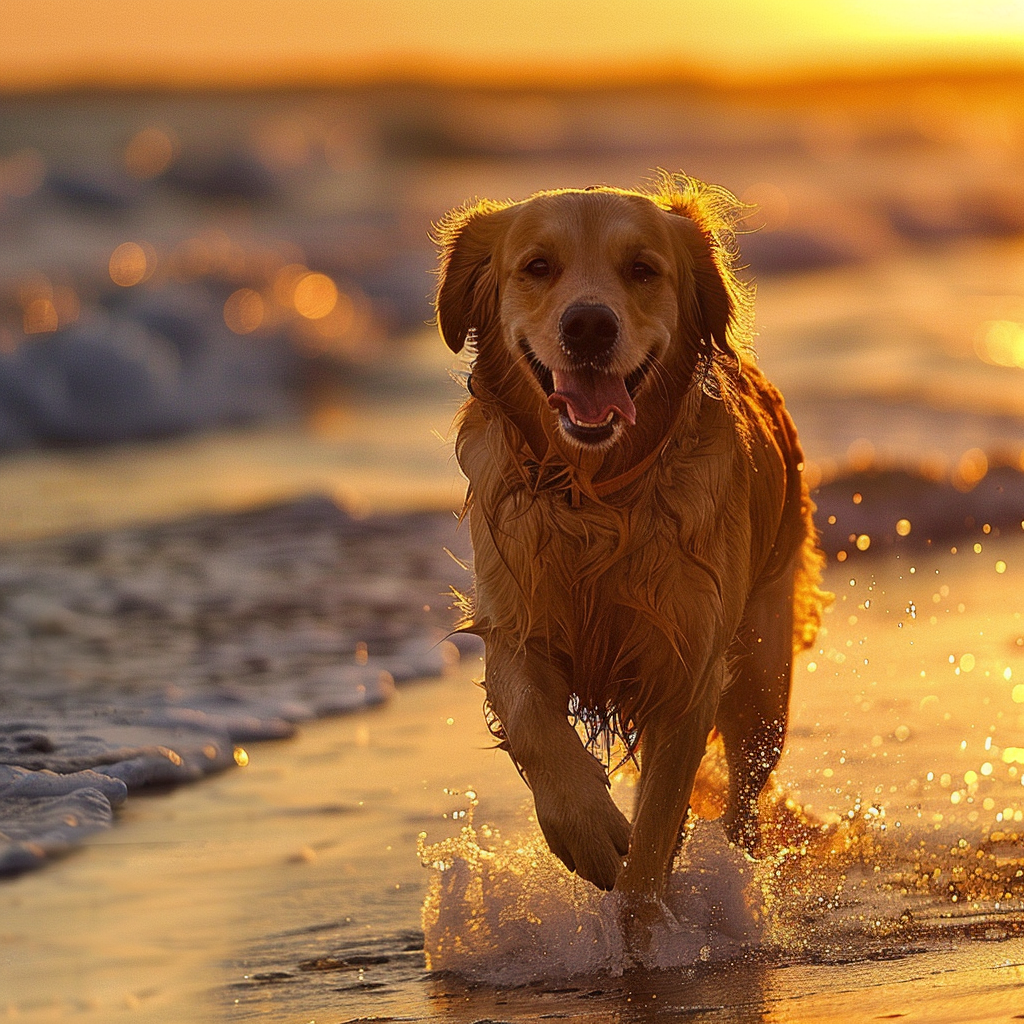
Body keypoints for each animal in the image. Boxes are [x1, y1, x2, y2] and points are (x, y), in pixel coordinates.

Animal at [432, 174, 823, 921]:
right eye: (537, 267)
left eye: (642, 269)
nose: (588, 325)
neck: (596, 498)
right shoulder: (517, 619)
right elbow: (532, 720)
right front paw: (585, 831)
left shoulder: (688, 669)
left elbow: (653, 841)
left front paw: (641, 927)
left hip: (763, 672)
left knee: (746, 789)